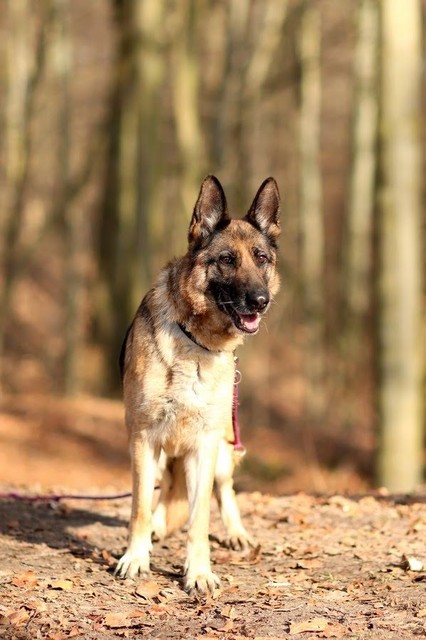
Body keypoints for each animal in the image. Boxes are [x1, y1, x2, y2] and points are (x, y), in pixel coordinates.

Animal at [115, 175, 282, 596]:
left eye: (261, 258)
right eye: (226, 260)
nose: (261, 300)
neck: (194, 340)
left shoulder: (205, 446)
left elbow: (201, 518)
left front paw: (199, 571)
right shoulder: (143, 439)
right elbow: (139, 508)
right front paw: (136, 557)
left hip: (224, 449)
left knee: (224, 491)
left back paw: (236, 533)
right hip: (159, 458)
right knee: (159, 495)